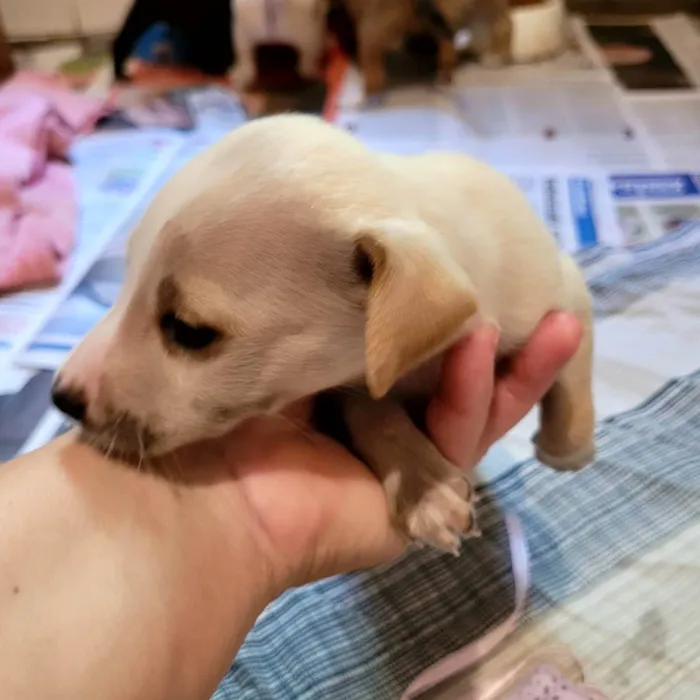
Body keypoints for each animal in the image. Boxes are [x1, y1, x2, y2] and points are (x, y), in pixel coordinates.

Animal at [52, 115, 592, 552]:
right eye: (123, 281)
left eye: (188, 329)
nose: (62, 397)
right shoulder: (346, 388)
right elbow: (373, 413)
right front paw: (424, 487)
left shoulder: (557, 280)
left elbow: (575, 350)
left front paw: (569, 445)